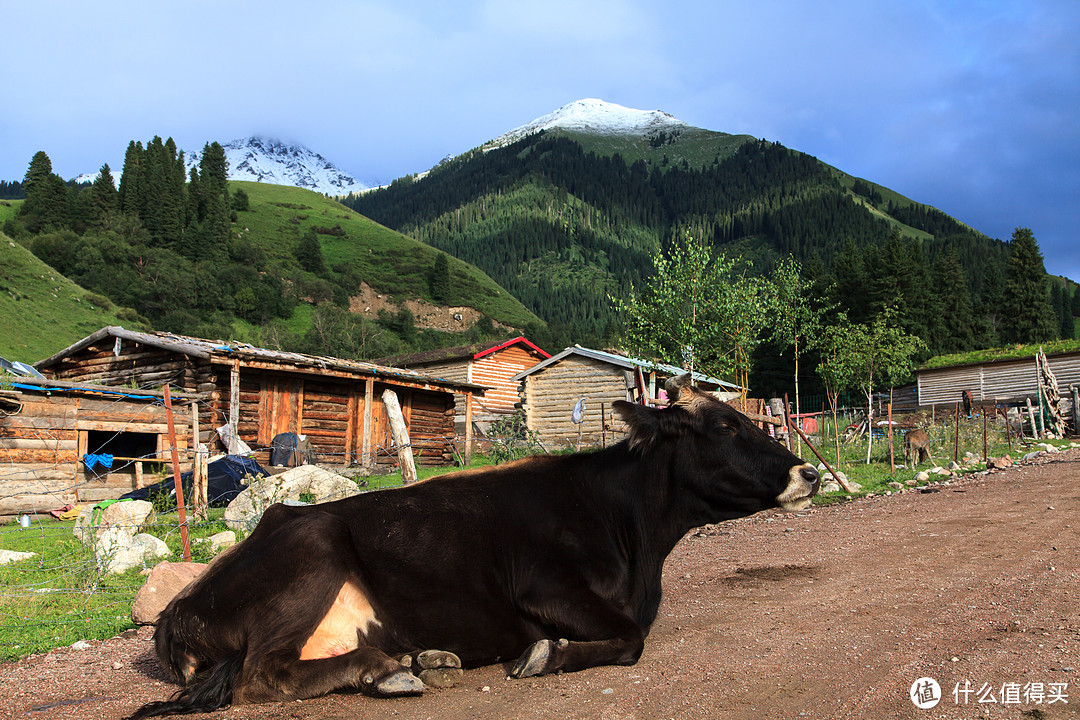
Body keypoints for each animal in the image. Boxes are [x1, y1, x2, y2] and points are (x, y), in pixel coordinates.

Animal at [128, 379, 816, 716]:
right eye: (725, 426)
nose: (808, 472)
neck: (635, 539)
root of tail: (175, 612)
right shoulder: (546, 587)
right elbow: (629, 640)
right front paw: (546, 655)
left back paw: (420, 659)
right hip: (310, 554)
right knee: (260, 677)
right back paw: (389, 671)